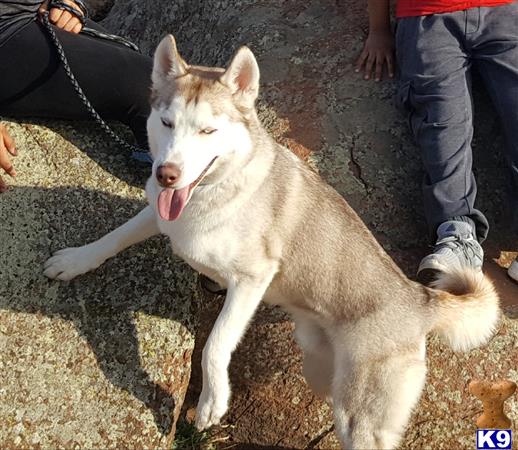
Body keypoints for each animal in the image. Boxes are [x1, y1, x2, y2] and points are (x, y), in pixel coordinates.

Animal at [43, 36, 500, 450]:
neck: (215, 191)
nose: (166, 174)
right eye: (167, 122)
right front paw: (75, 260)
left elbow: (215, 345)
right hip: (321, 373)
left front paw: (211, 402)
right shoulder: (161, 213)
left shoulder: (251, 280)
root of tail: (419, 298)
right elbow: (114, 236)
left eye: (207, 129)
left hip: (360, 419)